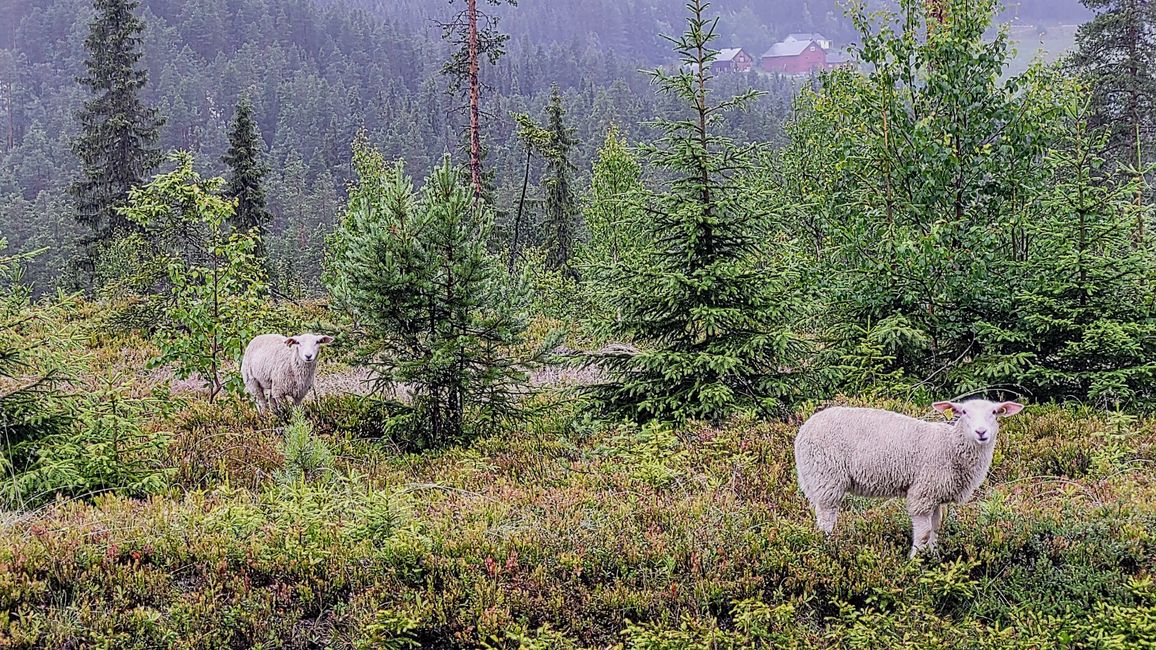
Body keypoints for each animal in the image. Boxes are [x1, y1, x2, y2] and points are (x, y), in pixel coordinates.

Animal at [790, 397, 1026, 555]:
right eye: (964, 412)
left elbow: (935, 529)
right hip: (826, 476)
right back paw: (827, 547)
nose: (981, 432)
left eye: (994, 412)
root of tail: (804, 430)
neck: (950, 446)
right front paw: (914, 562)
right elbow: (923, 532)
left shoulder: (935, 495)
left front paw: (933, 558)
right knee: (826, 517)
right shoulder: (922, 492)